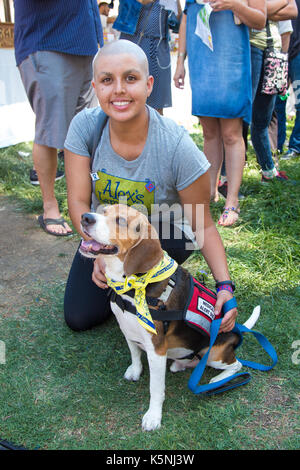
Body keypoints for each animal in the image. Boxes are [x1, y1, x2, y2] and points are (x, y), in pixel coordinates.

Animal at [79, 204, 260, 432]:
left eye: (120, 221)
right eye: (102, 210)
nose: (85, 217)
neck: (132, 285)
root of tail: (236, 329)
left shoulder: (156, 350)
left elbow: (155, 389)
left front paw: (153, 416)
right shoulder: (128, 331)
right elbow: (135, 355)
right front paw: (135, 371)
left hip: (214, 354)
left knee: (237, 365)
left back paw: (216, 379)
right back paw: (180, 364)